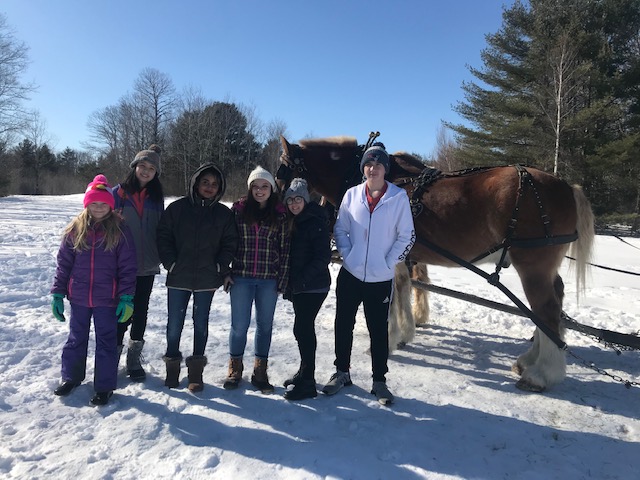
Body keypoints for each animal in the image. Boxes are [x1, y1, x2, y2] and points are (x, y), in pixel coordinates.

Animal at [278, 134, 596, 390]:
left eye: (282, 171)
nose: (282, 208)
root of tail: (568, 187)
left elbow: (392, 297)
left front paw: (389, 339)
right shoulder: (403, 256)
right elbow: (404, 288)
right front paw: (406, 332)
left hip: (532, 265)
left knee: (546, 309)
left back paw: (541, 375)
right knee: (551, 302)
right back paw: (529, 359)